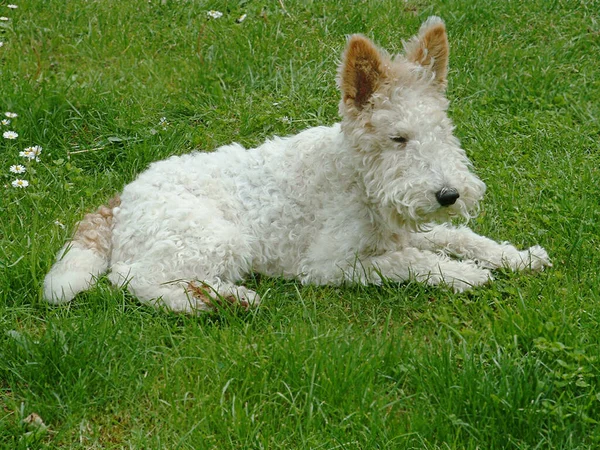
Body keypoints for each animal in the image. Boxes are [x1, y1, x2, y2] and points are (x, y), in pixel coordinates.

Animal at [42, 17, 552, 312]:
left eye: (442, 131)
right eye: (398, 138)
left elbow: (463, 238)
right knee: (135, 280)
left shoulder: (405, 229)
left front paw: (519, 257)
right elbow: (410, 262)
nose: (449, 195)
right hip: (216, 238)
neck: (356, 179)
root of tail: (121, 200)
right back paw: (224, 301)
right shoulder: (327, 265)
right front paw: (466, 276)